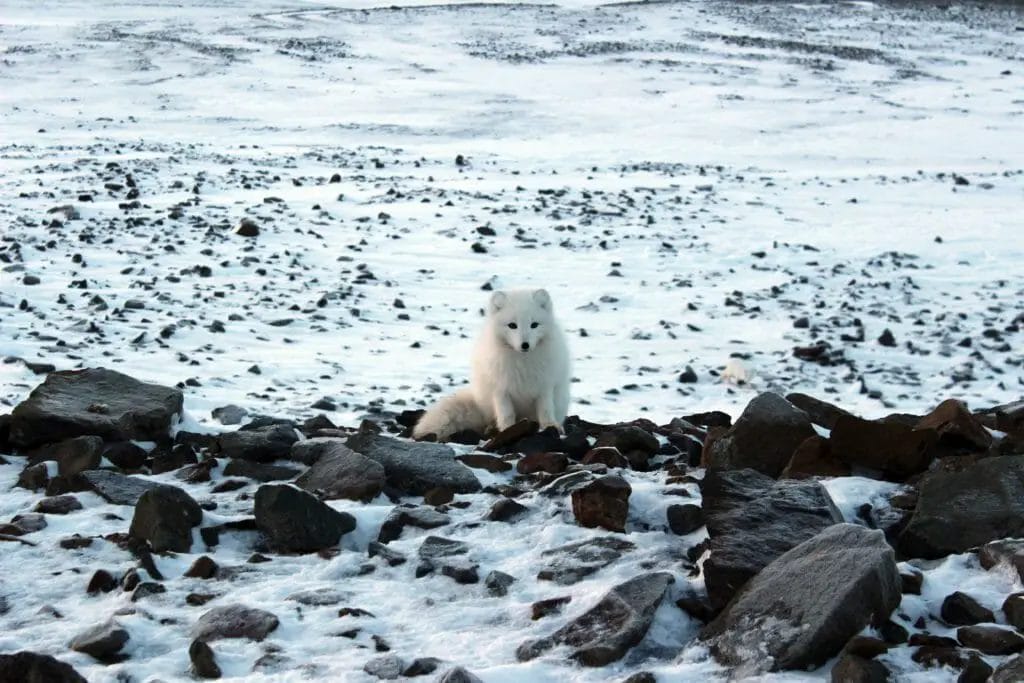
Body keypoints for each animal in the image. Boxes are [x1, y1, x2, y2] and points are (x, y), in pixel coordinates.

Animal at [411, 290, 573, 444]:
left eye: (534, 325)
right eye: (512, 325)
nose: (525, 345)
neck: (522, 361)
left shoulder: (545, 386)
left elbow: (546, 409)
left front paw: (551, 426)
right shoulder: (500, 389)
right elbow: (506, 414)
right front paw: (509, 429)